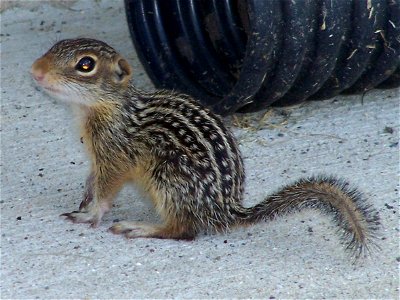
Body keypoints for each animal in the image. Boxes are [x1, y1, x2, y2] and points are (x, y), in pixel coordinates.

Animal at [31, 37, 378, 258]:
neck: (104, 109)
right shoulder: (95, 157)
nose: (35, 69)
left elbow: (107, 189)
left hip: (169, 179)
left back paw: (141, 227)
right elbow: (92, 180)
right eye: (55, 46)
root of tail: (226, 211)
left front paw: (92, 214)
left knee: (183, 230)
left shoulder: (115, 156)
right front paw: (83, 202)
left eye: (85, 65)